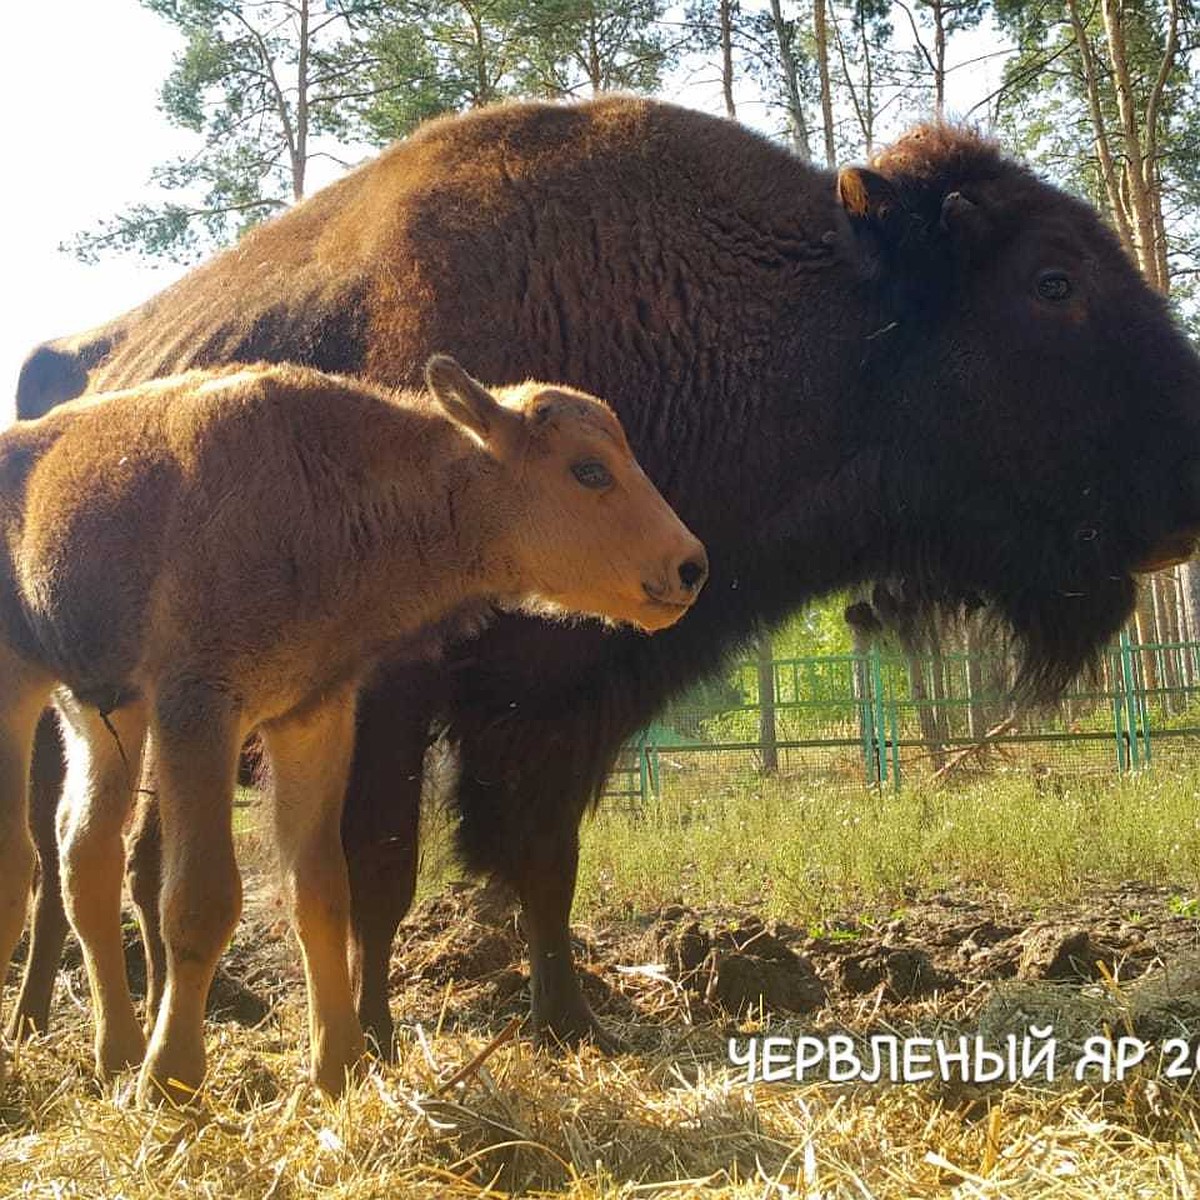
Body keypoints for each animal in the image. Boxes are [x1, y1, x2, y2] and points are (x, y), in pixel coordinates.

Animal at [0, 352, 700, 1099]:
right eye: (589, 469)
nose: (691, 566)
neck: (327, 486)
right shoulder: (200, 709)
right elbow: (200, 900)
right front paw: (172, 1082)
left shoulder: (314, 716)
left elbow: (321, 892)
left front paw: (341, 1068)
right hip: (21, 690)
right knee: (22, 859)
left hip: (102, 713)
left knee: (83, 855)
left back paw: (117, 1056)